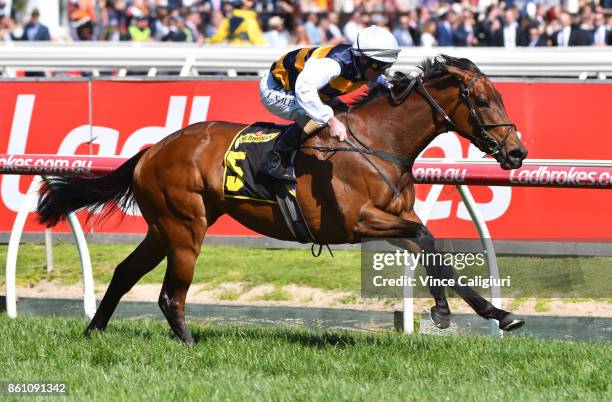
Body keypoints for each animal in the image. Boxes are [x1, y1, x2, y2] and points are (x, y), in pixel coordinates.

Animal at [37, 55, 524, 342]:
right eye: (482, 100)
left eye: (500, 95)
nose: (517, 153)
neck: (376, 143)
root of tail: (153, 150)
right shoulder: (357, 221)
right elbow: (427, 239)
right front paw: (444, 313)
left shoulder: (392, 219)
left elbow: (433, 248)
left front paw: (498, 314)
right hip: (184, 227)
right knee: (170, 294)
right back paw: (188, 345)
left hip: (164, 227)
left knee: (124, 273)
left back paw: (94, 331)